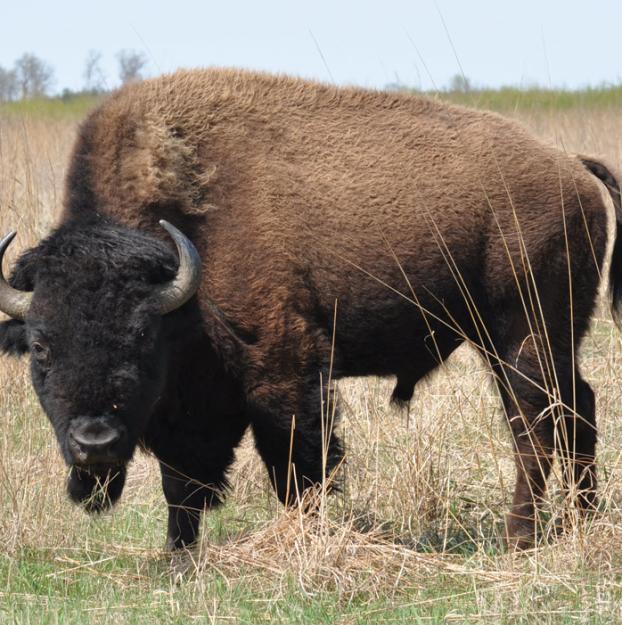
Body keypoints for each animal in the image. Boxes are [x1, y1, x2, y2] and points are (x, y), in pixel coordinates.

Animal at [0, 67, 620, 544]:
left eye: (141, 336)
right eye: (40, 345)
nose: (94, 443)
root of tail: (572, 168)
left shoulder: (283, 373)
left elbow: (297, 469)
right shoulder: (191, 404)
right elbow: (184, 487)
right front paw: (178, 561)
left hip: (522, 334)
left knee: (533, 425)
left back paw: (521, 536)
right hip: (534, 341)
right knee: (576, 409)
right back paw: (582, 520)